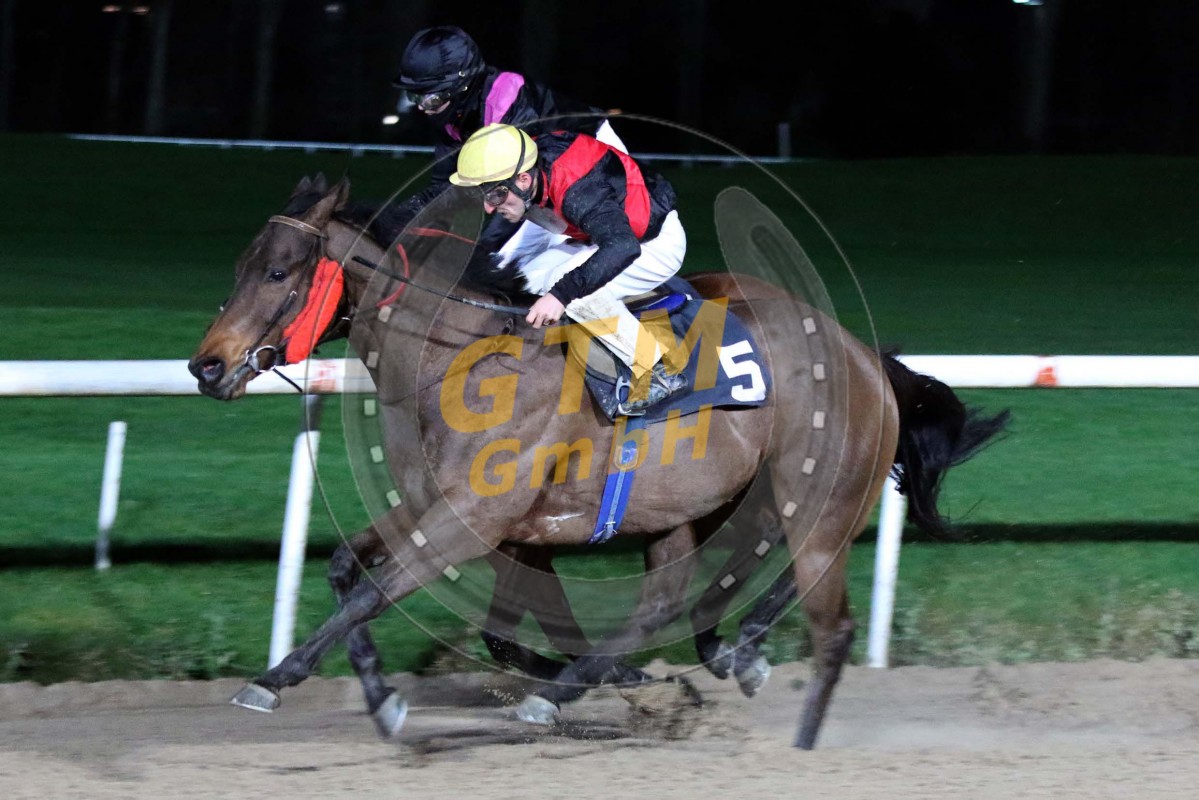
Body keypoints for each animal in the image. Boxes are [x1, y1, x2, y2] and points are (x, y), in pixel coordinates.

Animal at [189, 173, 1008, 749]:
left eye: (278, 273)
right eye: (239, 265)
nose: (207, 366)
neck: (462, 362)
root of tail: (865, 357)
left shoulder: (472, 520)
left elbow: (375, 592)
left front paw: (281, 680)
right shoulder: (445, 506)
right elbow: (345, 568)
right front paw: (375, 692)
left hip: (821, 487)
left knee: (819, 593)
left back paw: (764, 696)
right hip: (699, 504)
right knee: (678, 594)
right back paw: (679, 662)